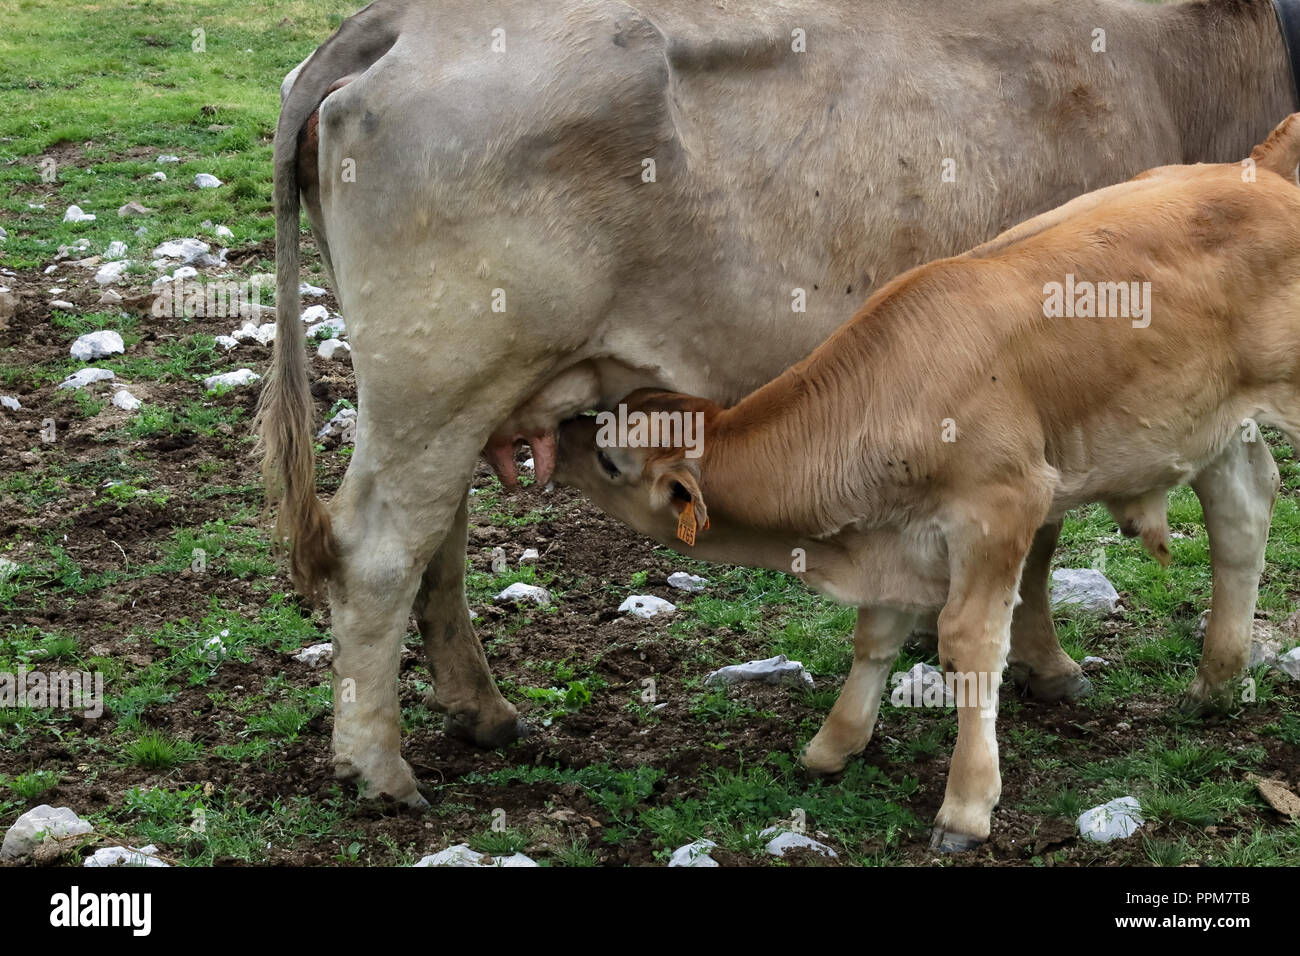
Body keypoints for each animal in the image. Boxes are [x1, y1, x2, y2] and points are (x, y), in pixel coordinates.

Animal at [258, 0, 1300, 806]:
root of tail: (397, 23)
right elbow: (1064, 536)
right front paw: (1054, 668)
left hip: (456, 399)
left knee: (437, 544)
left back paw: (481, 711)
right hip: (442, 379)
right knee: (380, 553)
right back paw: (377, 766)